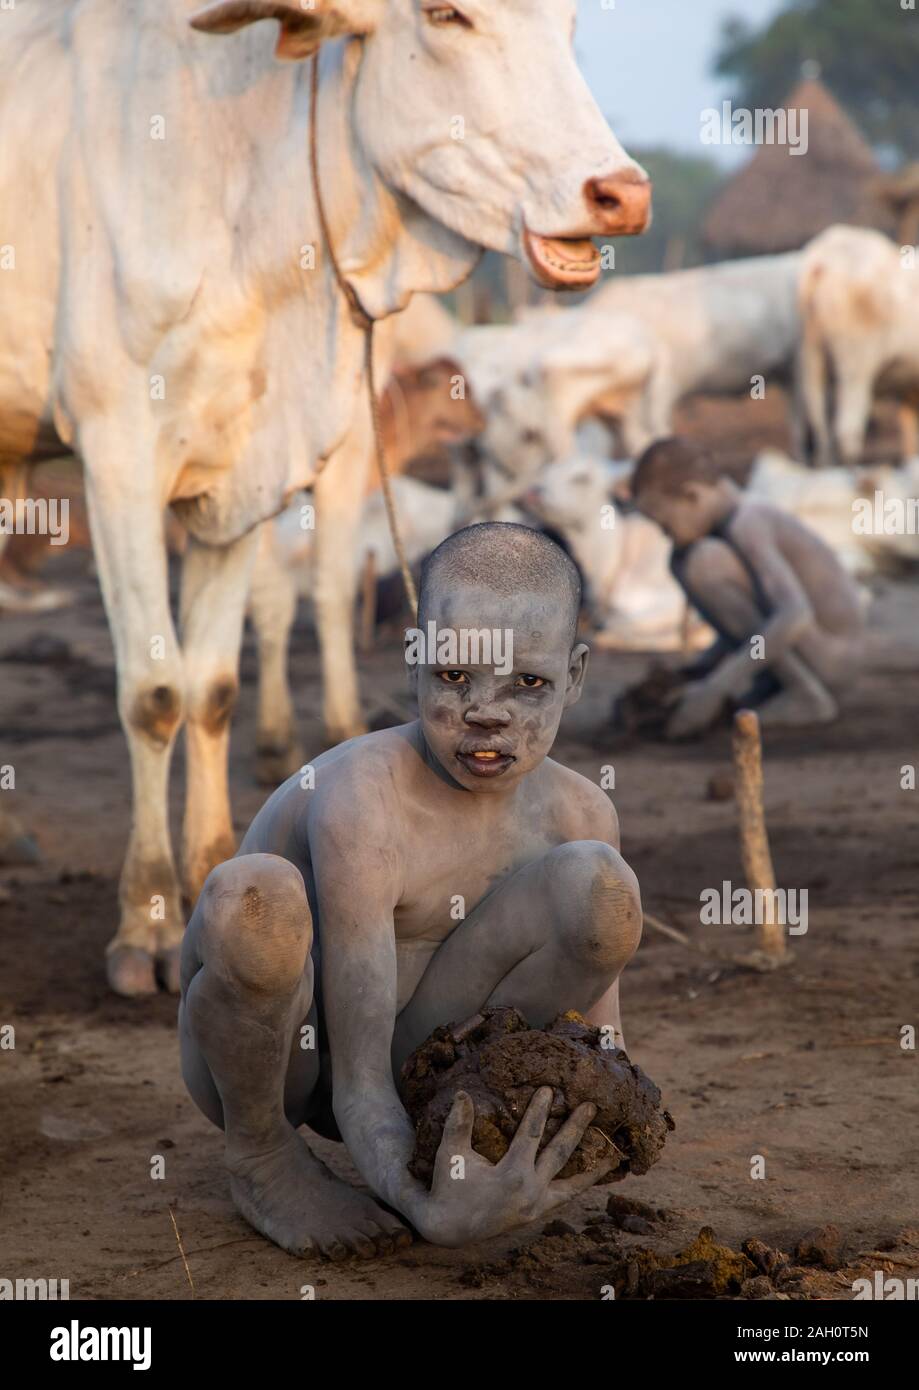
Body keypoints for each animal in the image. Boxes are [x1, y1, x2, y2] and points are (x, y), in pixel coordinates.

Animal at [0, 2, 647, 1000]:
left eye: (570, 25)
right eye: (446, 15)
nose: (619, 193)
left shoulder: (235, 484)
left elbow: (211, 687)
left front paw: (209, 871)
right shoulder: (119, 455)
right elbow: (155, 692)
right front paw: (147, 921)